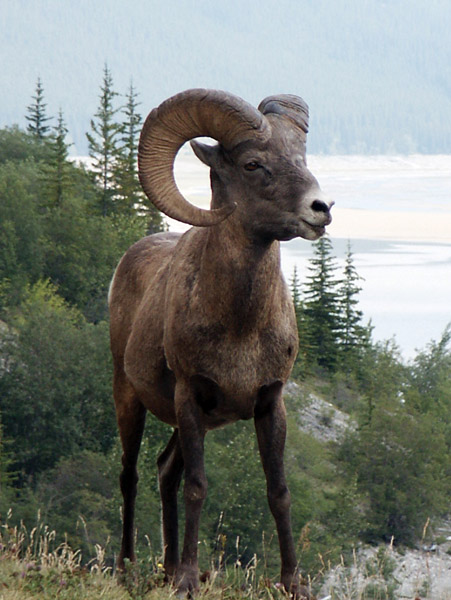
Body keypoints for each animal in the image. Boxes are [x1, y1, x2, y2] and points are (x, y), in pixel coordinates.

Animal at [108, 88, 336, 596]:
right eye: (253, 164)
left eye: (301, 156)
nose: (321, 209)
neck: (240, 328)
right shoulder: (191, 396)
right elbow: (198, 487)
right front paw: (188, 583)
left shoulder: (269, 404)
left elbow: (278, 492)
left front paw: (292, 583)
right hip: (129, 398)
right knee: (131, 475)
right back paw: (129, 569)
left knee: (164, 471)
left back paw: (167, 567)